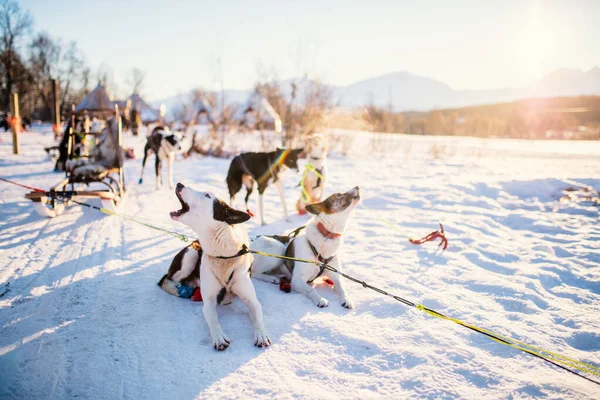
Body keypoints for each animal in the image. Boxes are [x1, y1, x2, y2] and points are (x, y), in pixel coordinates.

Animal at [169, 184, 272, 350]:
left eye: (207, 195)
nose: (179, 184)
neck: (224, 256)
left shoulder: (251, 298)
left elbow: (257, 315)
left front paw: (261, 335)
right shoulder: (209, 301)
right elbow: (213, 320)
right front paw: (219, 337)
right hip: (191, 254)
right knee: (166, 280)